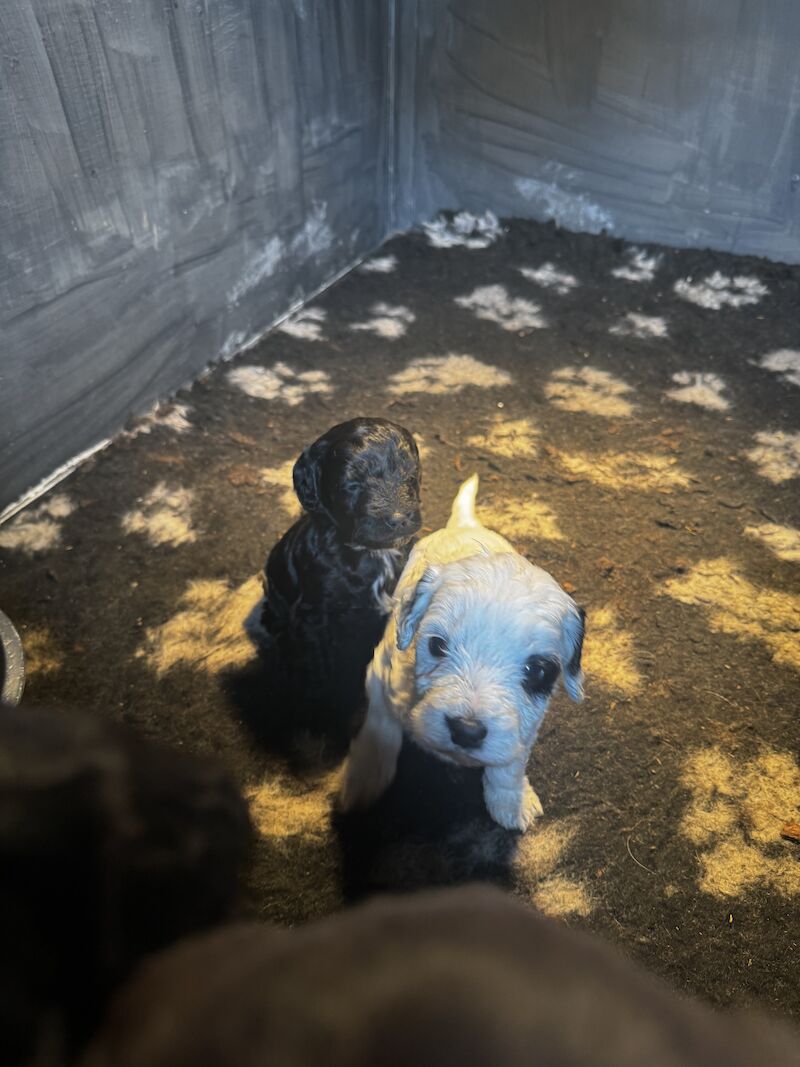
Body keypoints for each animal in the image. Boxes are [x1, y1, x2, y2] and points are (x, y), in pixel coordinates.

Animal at [261, 416, 426, 742]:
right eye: (352, 484)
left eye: (410, 474)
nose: (399, 518)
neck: (371, 552)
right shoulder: (314, 617)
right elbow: (320, 668)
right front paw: (327, 715)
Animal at [341, 475, 584, 832]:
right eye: (437, 645)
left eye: (538, 671)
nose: (466, 730)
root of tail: (465, 524)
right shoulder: (382, 675)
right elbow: (380, 729)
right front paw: (365, 779)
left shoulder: (524, 725)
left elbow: (509, 764)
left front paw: (512, 802)